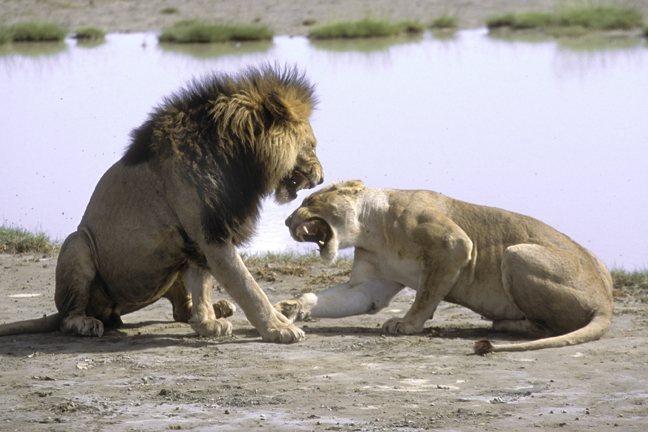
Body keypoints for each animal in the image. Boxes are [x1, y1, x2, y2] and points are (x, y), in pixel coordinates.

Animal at [0, 66, 324, 344]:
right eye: (312, 145)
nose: (321, 177)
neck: (239, 158)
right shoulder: (211, 235)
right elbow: (249, 288)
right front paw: (278, 328)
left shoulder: (202, 237)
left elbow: (203, 283)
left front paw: (207, 323)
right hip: (78, 243)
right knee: (68, 316)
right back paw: (85, 323)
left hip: (171, 260)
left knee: (180, 307)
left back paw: (218, 308)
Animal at [274, 181, 612, 352]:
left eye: (310, 200)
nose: (287, 220)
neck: (370, 228)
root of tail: (606, 303)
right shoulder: (369, 287)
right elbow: (333, 298)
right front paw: (289, 308)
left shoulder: (453, 243)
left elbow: (426, 293)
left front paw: (406, 324)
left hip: (516, 254)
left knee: (552, 327)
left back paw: (505, 324)